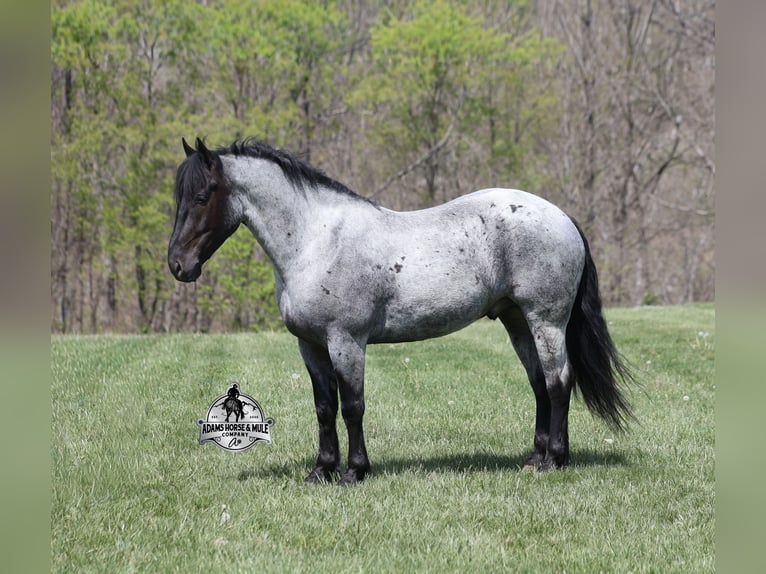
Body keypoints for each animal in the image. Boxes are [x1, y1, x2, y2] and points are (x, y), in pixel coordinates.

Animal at [168, 137, 633, 485]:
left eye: (202, 195)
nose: (178, 265)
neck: (316, 240)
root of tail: (562, 216)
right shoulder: (311, 346)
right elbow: (324, 408)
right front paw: (321, 471)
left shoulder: (346, 341)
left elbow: (352, 406)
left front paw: (354, 473)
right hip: (517, 321)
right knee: (539, 384)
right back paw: (535, 460)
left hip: (545, 321)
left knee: (558, 383)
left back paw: (556, 460)